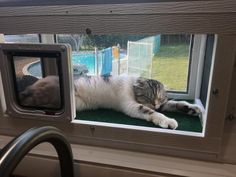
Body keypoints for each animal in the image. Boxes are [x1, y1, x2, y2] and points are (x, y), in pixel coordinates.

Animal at [19, 74, 202, 129]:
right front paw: (167, 121)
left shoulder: (164, 104)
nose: (156, 104)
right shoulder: (131, 106)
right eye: (150, 97)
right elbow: (150, 112)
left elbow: (176, 104)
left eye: (160, 98)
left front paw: (193, 108)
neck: (132, 85)